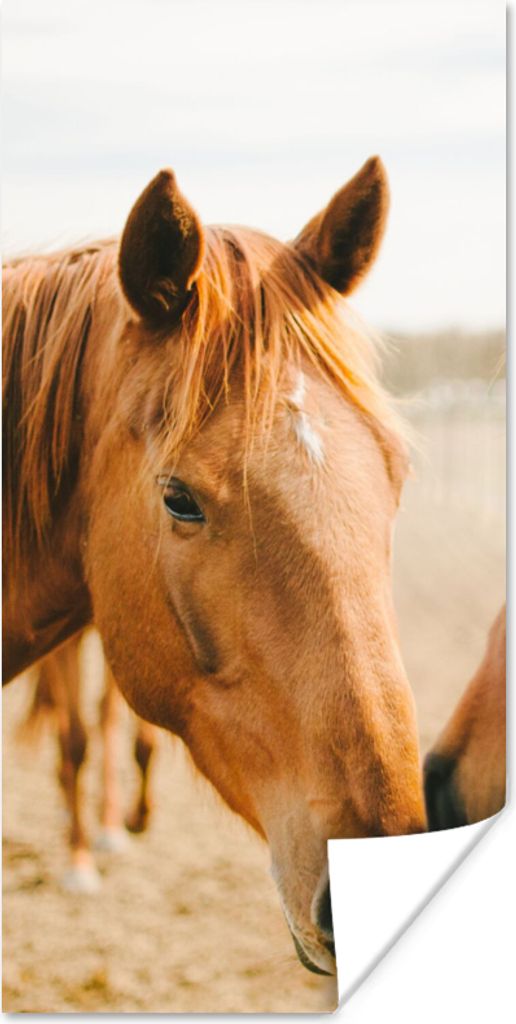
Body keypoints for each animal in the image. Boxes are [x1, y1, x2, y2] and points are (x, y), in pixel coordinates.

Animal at [19, 630, 158, 891]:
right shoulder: (62, 646)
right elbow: (75, 743)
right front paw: (79, 863)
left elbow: (145, 743)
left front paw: (138, 818)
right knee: (62, 720)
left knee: (106, 715)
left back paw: (110, 824)